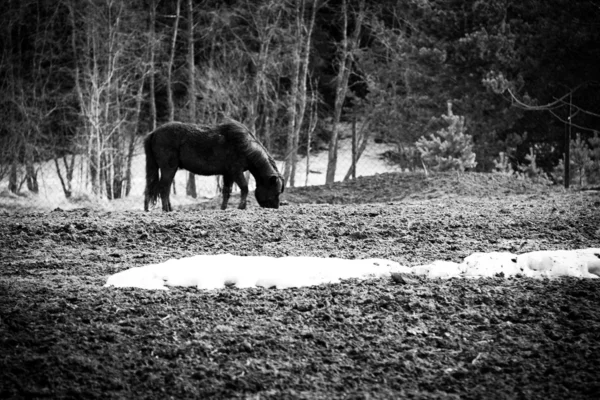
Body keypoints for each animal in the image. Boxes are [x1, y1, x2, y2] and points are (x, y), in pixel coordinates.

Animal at [145, 119, 286, 211]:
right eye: (276, 192)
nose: (275, 207)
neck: (245, 146)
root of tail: (154, 133)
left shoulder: (228, 174)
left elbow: (226, 191)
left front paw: (223, 208)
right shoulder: (236, 172)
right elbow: (244, 188)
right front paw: (241, 206)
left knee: (158, 187)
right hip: (168, 168)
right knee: (164, 188)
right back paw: (166, 210)